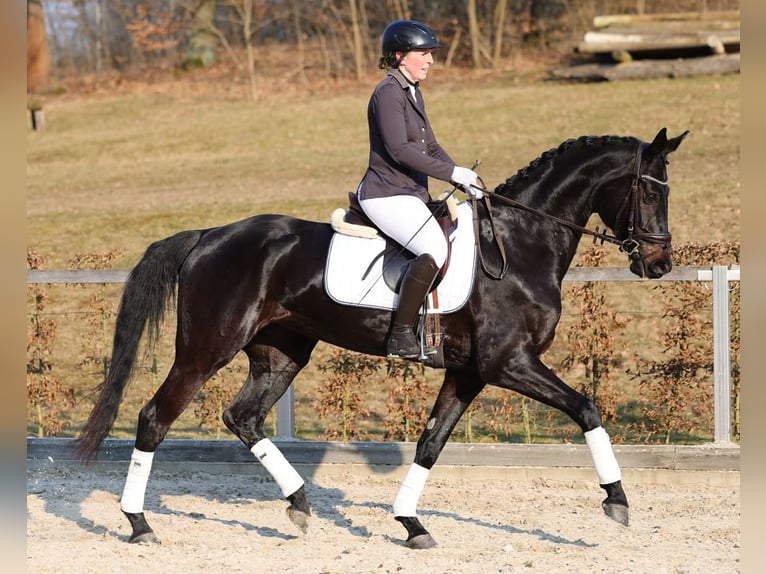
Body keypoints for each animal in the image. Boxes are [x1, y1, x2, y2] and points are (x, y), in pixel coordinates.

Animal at [75, 127, 689, 549]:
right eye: (648, 192)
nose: (658, 264)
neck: (519, 244)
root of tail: (209, 236)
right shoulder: (507, 363)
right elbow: (586, 408)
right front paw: (617, 500)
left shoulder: (468, 372)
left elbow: (430, 444)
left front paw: (411, 524)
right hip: (206, 349)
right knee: (155, 418)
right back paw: (138, 523)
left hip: (281, 354)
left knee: (242, 417)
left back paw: (300, 503)